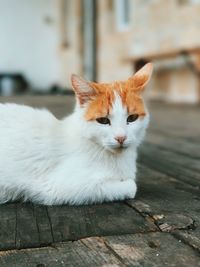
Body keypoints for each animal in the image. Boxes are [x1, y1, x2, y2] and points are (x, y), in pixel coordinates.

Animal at [0, 63, 153, 206]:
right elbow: (130, 186)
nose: (121, 137)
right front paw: (127, 185)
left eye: (132, 118)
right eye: (103, 120)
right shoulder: (60, 186)